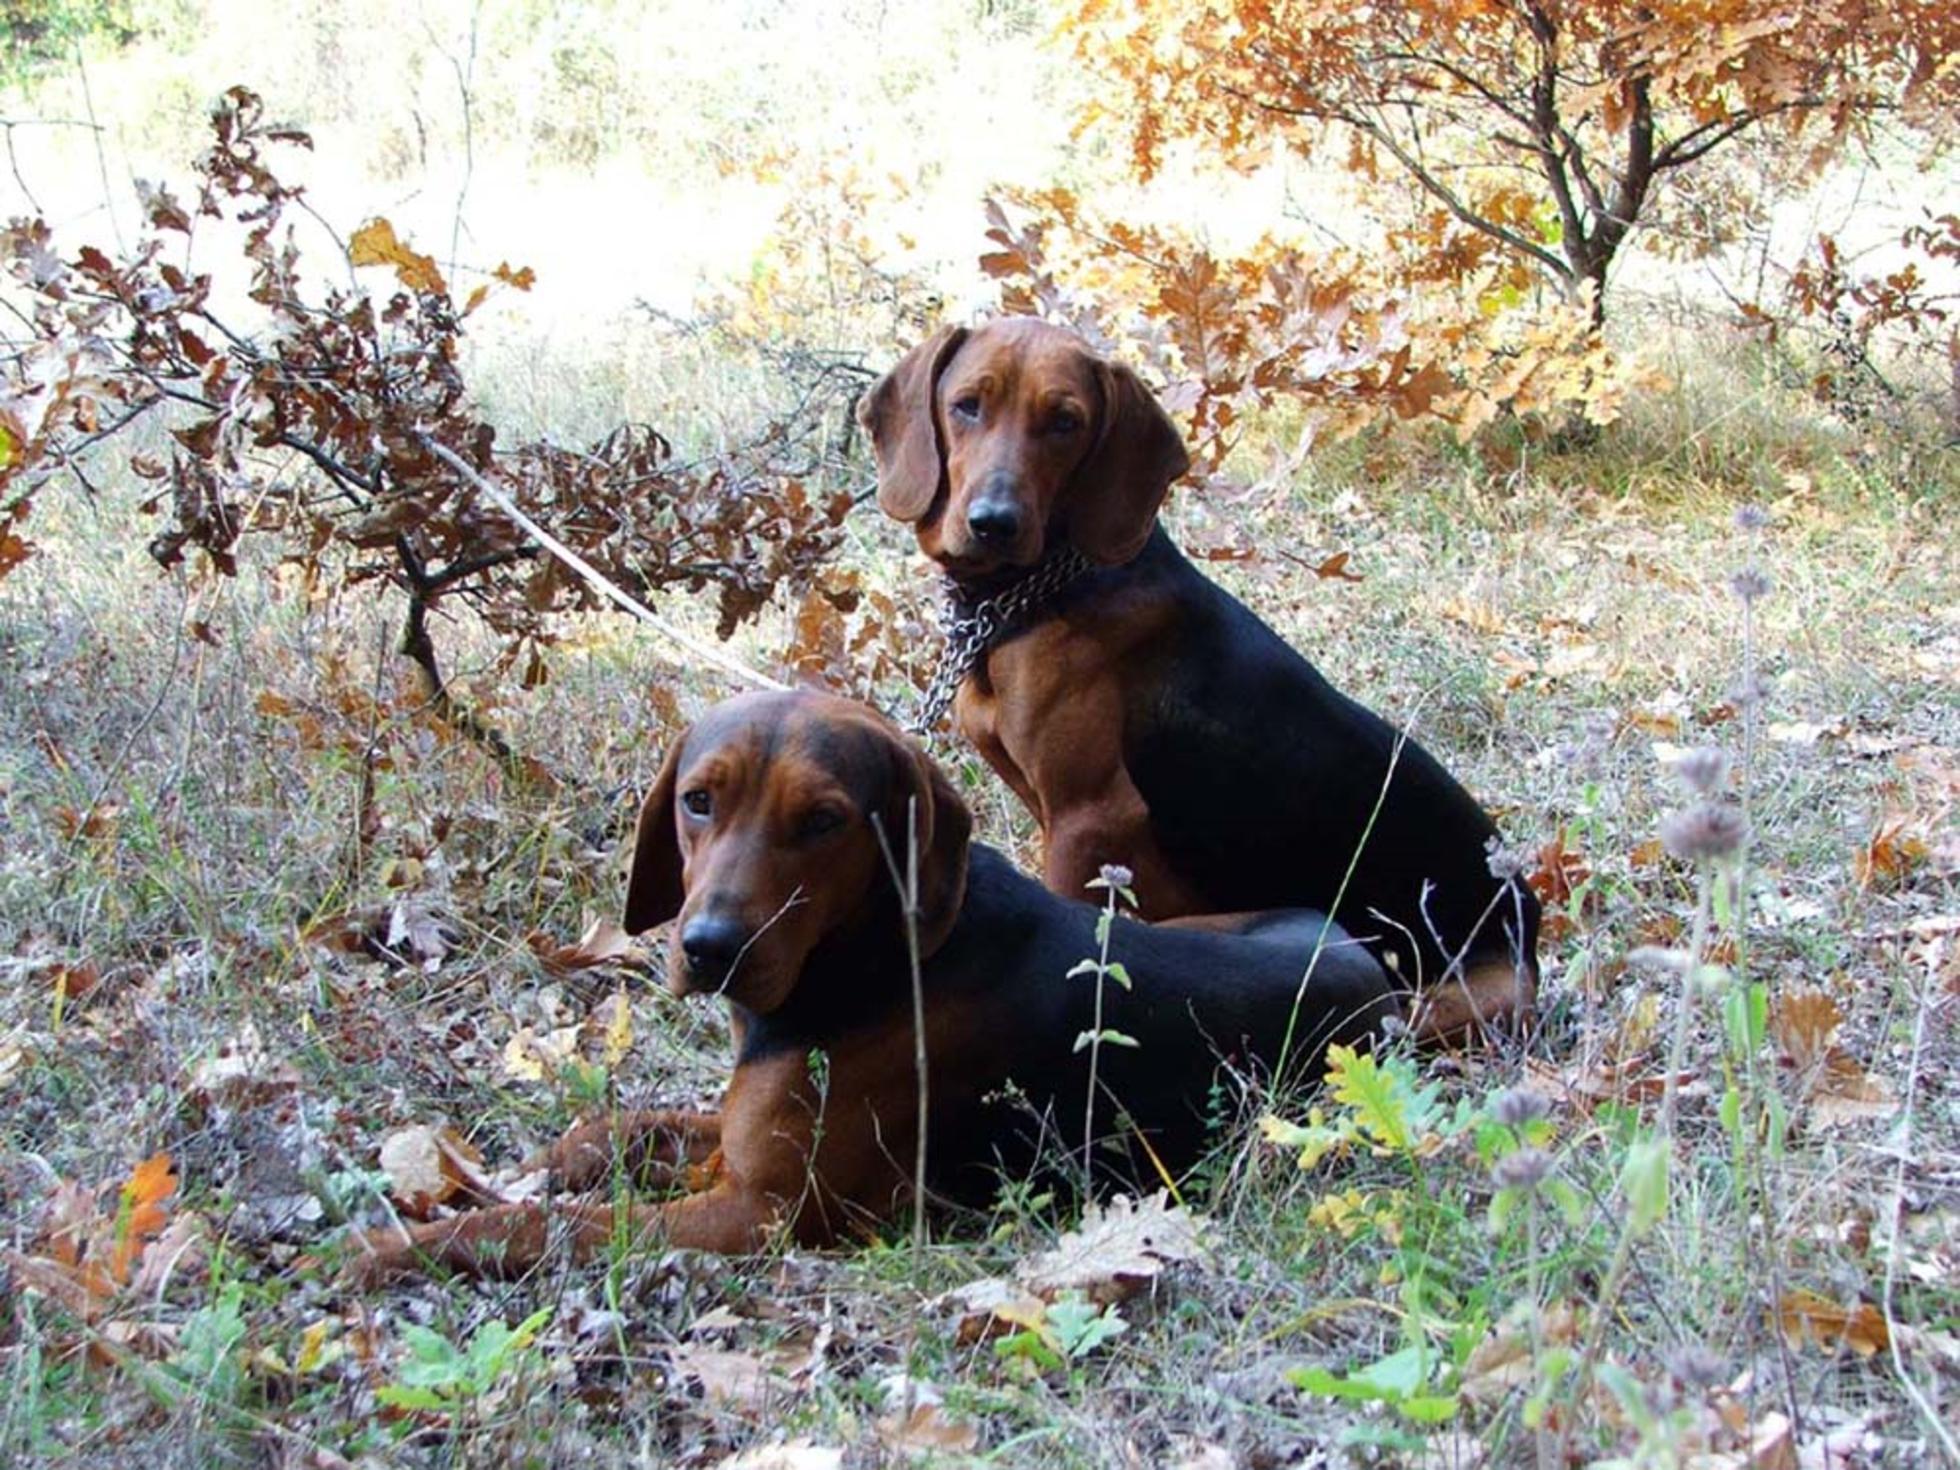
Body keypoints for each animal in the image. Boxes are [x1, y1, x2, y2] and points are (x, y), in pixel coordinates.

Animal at [348, 689, 1395, 1277]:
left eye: (823, 821)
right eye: (697, 801)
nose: (712, 947)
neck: (865, 960)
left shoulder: (762, 1214)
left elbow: (543, 1230)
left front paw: (394, 1249)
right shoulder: (734, 1152)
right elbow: (612, 1128)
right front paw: (517, 1167)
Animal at [866, 317, 1536, 1042]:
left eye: (1066, 422)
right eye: (966, 406)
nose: (993, 523)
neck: (1035, 590)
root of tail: (1529, 920)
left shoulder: (1086, 817)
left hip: (1429, 1006)